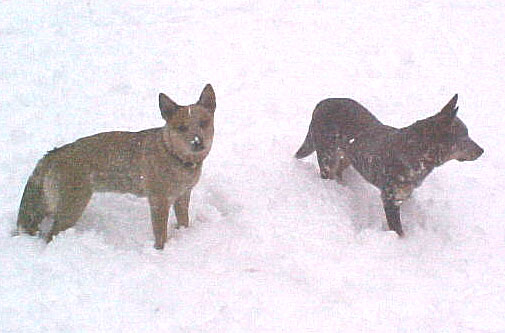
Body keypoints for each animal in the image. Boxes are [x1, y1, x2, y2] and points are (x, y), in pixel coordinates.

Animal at [16, 84, 215, 248]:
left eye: (204, 123)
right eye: (182, 128)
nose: (197, 142)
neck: (175, 157)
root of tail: (51, 155)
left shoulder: (183, 195)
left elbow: (184, 222)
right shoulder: (159, 201)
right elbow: (160, 235)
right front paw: (160, 252)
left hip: (55, 204)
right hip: (71, 208)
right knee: (50, 235)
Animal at [296, 94, 484, 236]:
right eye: (464, 138)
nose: (482, 150)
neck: (416, 151)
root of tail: (321, 104)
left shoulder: (403, 194)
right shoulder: (390, 198)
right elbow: (398, 231)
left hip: (347, 154)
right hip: (327, 156)